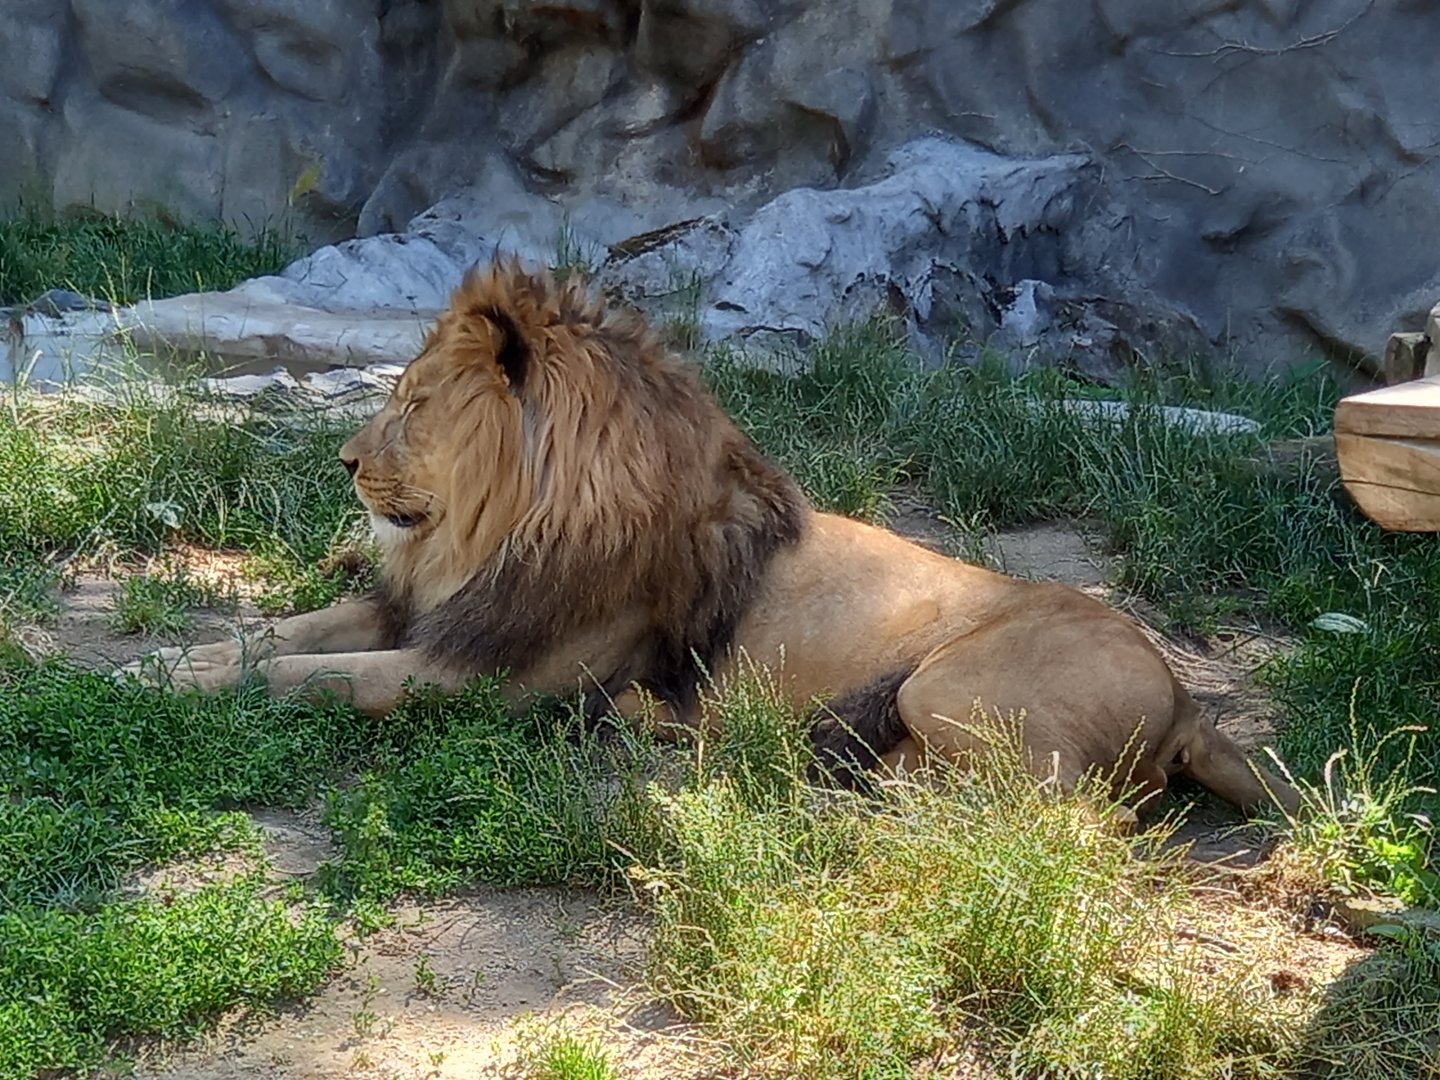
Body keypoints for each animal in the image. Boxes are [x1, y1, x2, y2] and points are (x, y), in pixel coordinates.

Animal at [129, 260, 1299, 818]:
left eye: (413, 403)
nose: (341, 461)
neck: (490, 533)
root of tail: (1190, 699)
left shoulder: (481, 675)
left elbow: (317, 677)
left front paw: (185, 684)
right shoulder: (427, 610)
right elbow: (288, 632)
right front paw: (162, 665)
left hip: (953, 687)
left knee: (1064, 822)